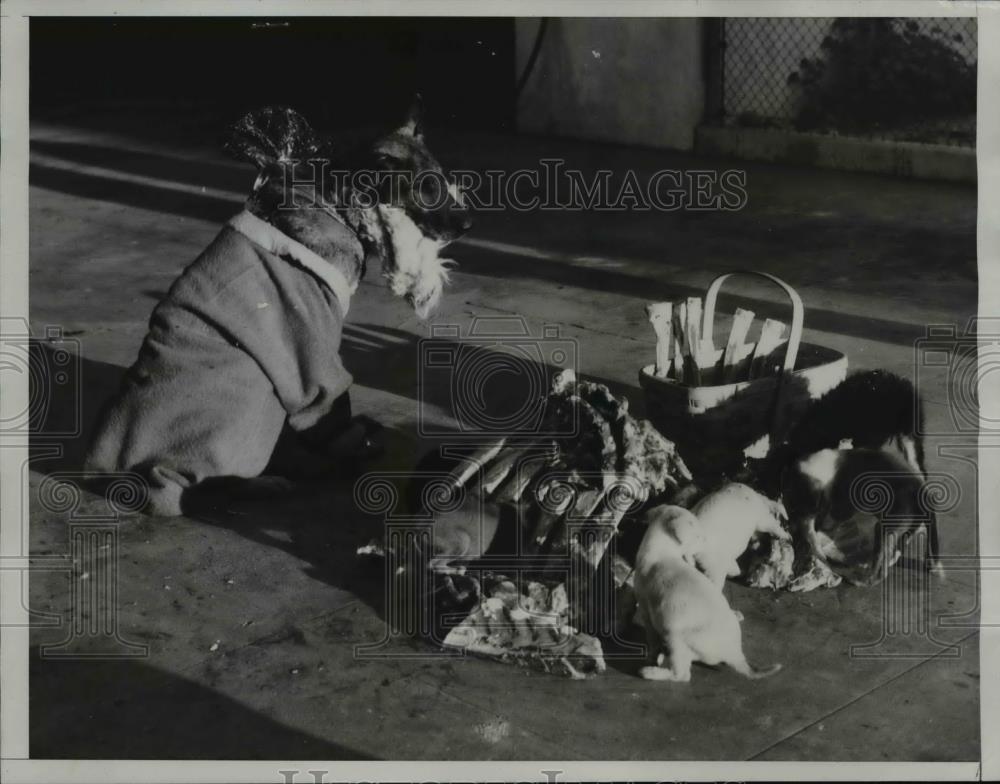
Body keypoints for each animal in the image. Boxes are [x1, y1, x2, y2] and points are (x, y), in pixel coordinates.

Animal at [632, 508, 780, 680]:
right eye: (699, 537)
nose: (706, 541)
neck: (661, 551)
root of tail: (735, 654)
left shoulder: (645, 610)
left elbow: (652, 639)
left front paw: (652, 655)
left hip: (676, 634)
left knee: (682, 675)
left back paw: (650, 672)